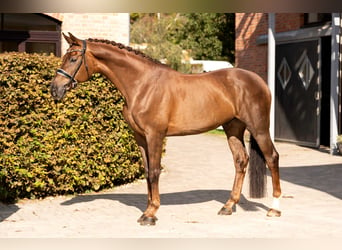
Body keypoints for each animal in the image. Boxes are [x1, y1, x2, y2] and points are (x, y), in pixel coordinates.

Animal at [50, 32, 280, 226]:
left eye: (73, 59)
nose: (55, 89)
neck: (142, 84)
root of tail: (258, 80)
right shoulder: (140, 137)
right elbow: (146, 171)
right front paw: (147, 209)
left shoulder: (155, 135)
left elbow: (154, 171)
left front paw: (150, 214)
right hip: (232, 128)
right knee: (240, 161)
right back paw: (228, 206)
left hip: (259, 128)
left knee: (272, 157)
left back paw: (274, 209)